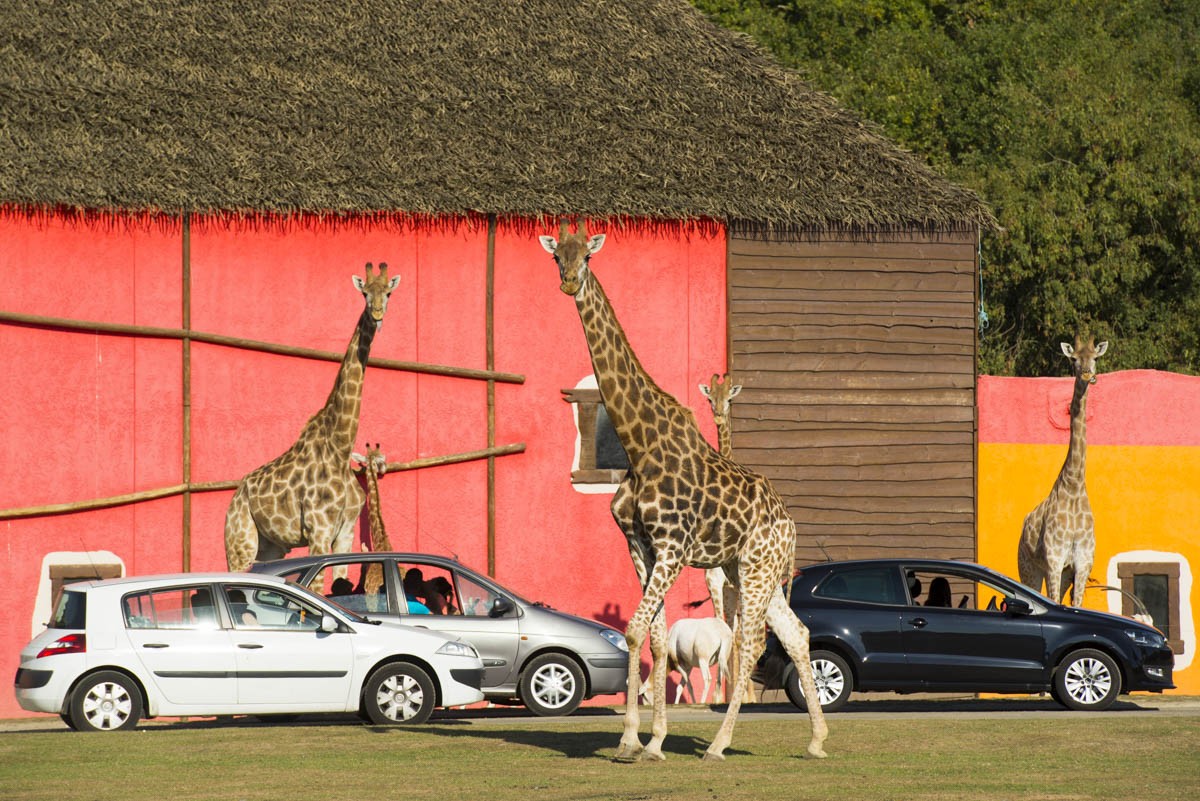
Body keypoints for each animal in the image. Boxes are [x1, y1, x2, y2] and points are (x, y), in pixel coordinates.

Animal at [226, 262, 405, 582]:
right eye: (364, 294)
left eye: (388, 293)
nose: (377, 314)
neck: (341, 445)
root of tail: (234, 498)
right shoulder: (318, 530)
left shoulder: (345, 534)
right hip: (240, 542)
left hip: (270, 548)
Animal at [542, 221, 830, 762]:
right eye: (556, 256)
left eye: (586, 256)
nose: (568, 282)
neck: (639, 445)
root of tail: (790, 523)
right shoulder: (639, 545)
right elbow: (653, 636)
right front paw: (644, 739)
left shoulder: (673, 547)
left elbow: (636, 629)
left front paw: (637, 741)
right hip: (745, 569)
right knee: (797, 633)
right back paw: (817, 740)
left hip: (756, 567)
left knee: (754, 643)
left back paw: (719, 743)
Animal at [1017, 335, 1108, 604]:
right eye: (1074, 359)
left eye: (1095, 358)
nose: (1088, 375)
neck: (1075, 485)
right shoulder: (1054, 559)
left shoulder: (1082, 563)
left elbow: (1075, 604)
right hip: (1029, 567)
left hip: (1062, 572)